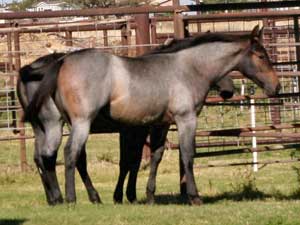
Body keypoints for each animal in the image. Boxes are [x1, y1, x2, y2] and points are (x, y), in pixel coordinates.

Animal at [24, 25, 280, 205]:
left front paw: (149, 196)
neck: (188, 68)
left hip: (56, 126)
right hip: (80, 123)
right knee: (70, 154)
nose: (276, 87)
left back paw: (57, 198)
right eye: (261, 56)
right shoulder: (186, 119)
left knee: (47, 156)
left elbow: (155, 157)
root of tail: (62, 60)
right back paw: (72, 199)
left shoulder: (160, 124)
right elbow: (187, 155)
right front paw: (194, 196)